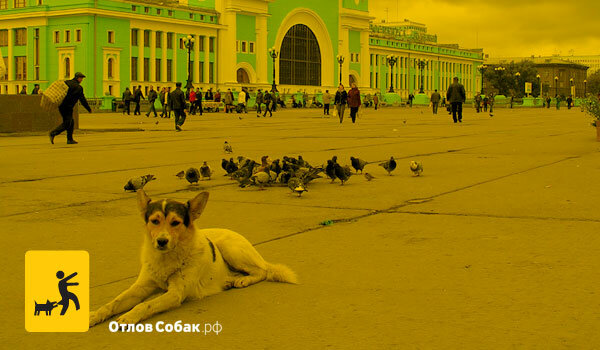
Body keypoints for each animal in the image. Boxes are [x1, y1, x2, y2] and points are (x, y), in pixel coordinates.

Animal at [89, 190, 298, 326]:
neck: (166, 258)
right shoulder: (140, 288)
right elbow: (113, 303)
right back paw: (231, 280)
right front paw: (94, 315)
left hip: (228, 248)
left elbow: (145, 304)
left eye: (175, 223)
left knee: (262, 271)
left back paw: (243, 280)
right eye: (155, 221)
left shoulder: (175, 294)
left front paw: (129, 316)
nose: (162, 241)